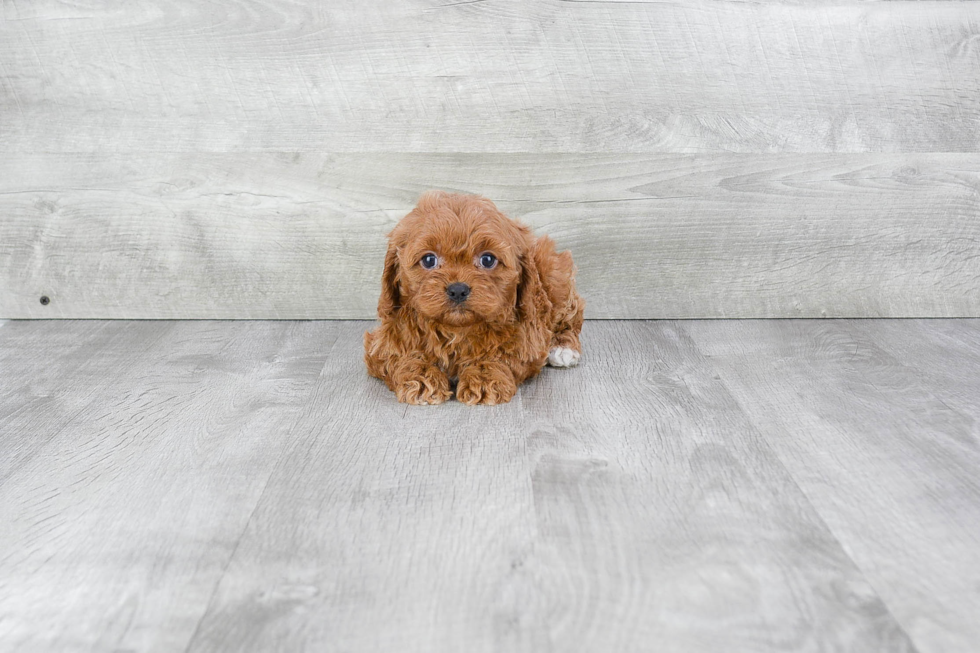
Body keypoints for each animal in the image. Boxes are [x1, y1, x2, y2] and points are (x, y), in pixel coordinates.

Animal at [366, 190, 580, 402]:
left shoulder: (528, 340)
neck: (456, 330)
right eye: (428, 260)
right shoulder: (381, 342)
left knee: (573, 311)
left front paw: (484, 377)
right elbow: (402, 355)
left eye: (488, 259)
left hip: (555, 274)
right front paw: (422, 377)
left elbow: (503, 352)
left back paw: (564, 347)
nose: (458, 289)